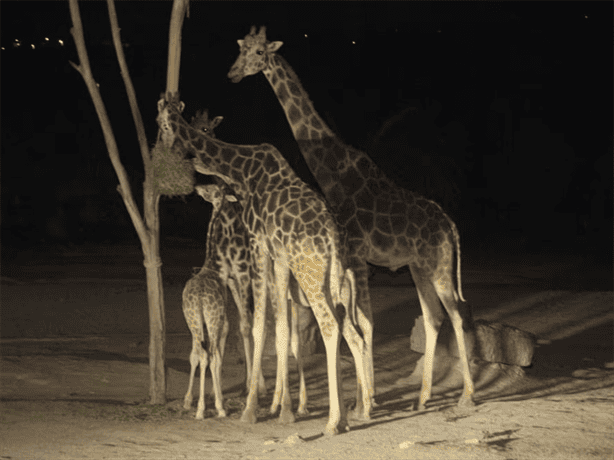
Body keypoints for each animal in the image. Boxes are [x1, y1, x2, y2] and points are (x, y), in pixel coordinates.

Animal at [229, 25, 478, 414]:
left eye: (257, 52)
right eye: (240, 48)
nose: (233, 73)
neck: (333, 172)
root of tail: (452, 228)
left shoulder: (357, 257)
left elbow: (364, 322)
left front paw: (364, 403)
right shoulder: (353, 260)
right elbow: (361, 321)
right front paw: (365, 398)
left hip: (438, 267)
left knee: (456, 314)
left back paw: (466, 396)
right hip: (419, 267)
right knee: (435, 317)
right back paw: (422, 398)